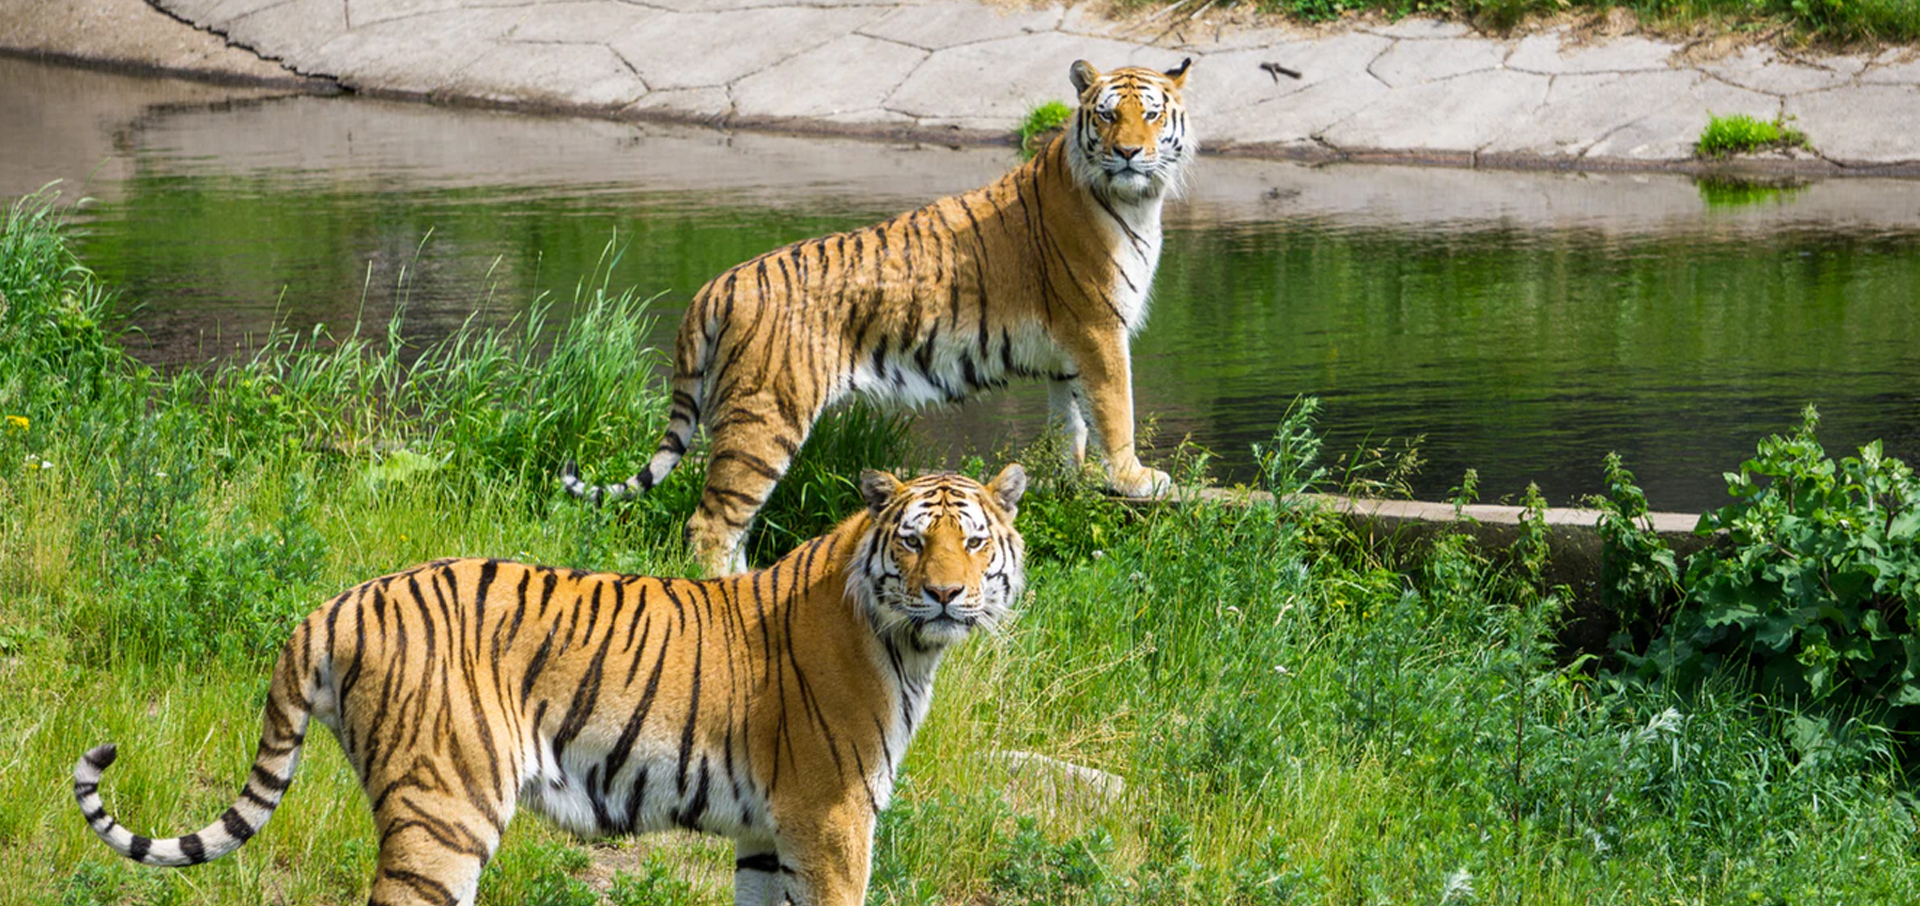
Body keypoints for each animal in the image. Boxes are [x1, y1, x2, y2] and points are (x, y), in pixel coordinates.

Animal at [73, 465, 1029, 906]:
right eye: (914, 540)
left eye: (975, 542)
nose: (948, 593)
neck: (906, 645)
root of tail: (338, 603)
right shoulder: (831, 820)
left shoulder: (768, 831)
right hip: (445, 809)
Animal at [563, 57, 1195, 575]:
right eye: (1108, 116)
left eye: (1151, 114)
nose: (1129, 153)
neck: (1137, 199)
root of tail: (719, 283)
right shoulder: (1099, 329)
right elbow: (1116, 409)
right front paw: (1135, 478)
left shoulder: (1069, 351)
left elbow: (1072, 422)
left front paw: (1072, 479)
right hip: (764, 415)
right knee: (712, 522)